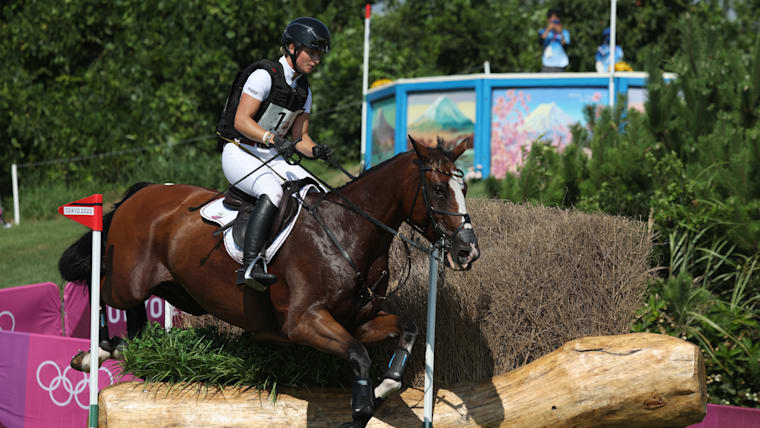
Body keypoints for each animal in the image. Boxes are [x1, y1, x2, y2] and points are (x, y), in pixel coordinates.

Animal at [59, 137, 480, 428]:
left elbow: (407, 330)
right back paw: (91, 353)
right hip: (128, 280)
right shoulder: (304, 322)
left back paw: (116, 349)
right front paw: (361, 407)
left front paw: (380, 392)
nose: (467, 251)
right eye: (438, 189)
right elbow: (359, 355)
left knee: (135, 326)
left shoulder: (357, 321)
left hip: (173, 289)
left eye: (465, 189)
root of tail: (141, 192)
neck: (348, 232)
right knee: (101, 289)